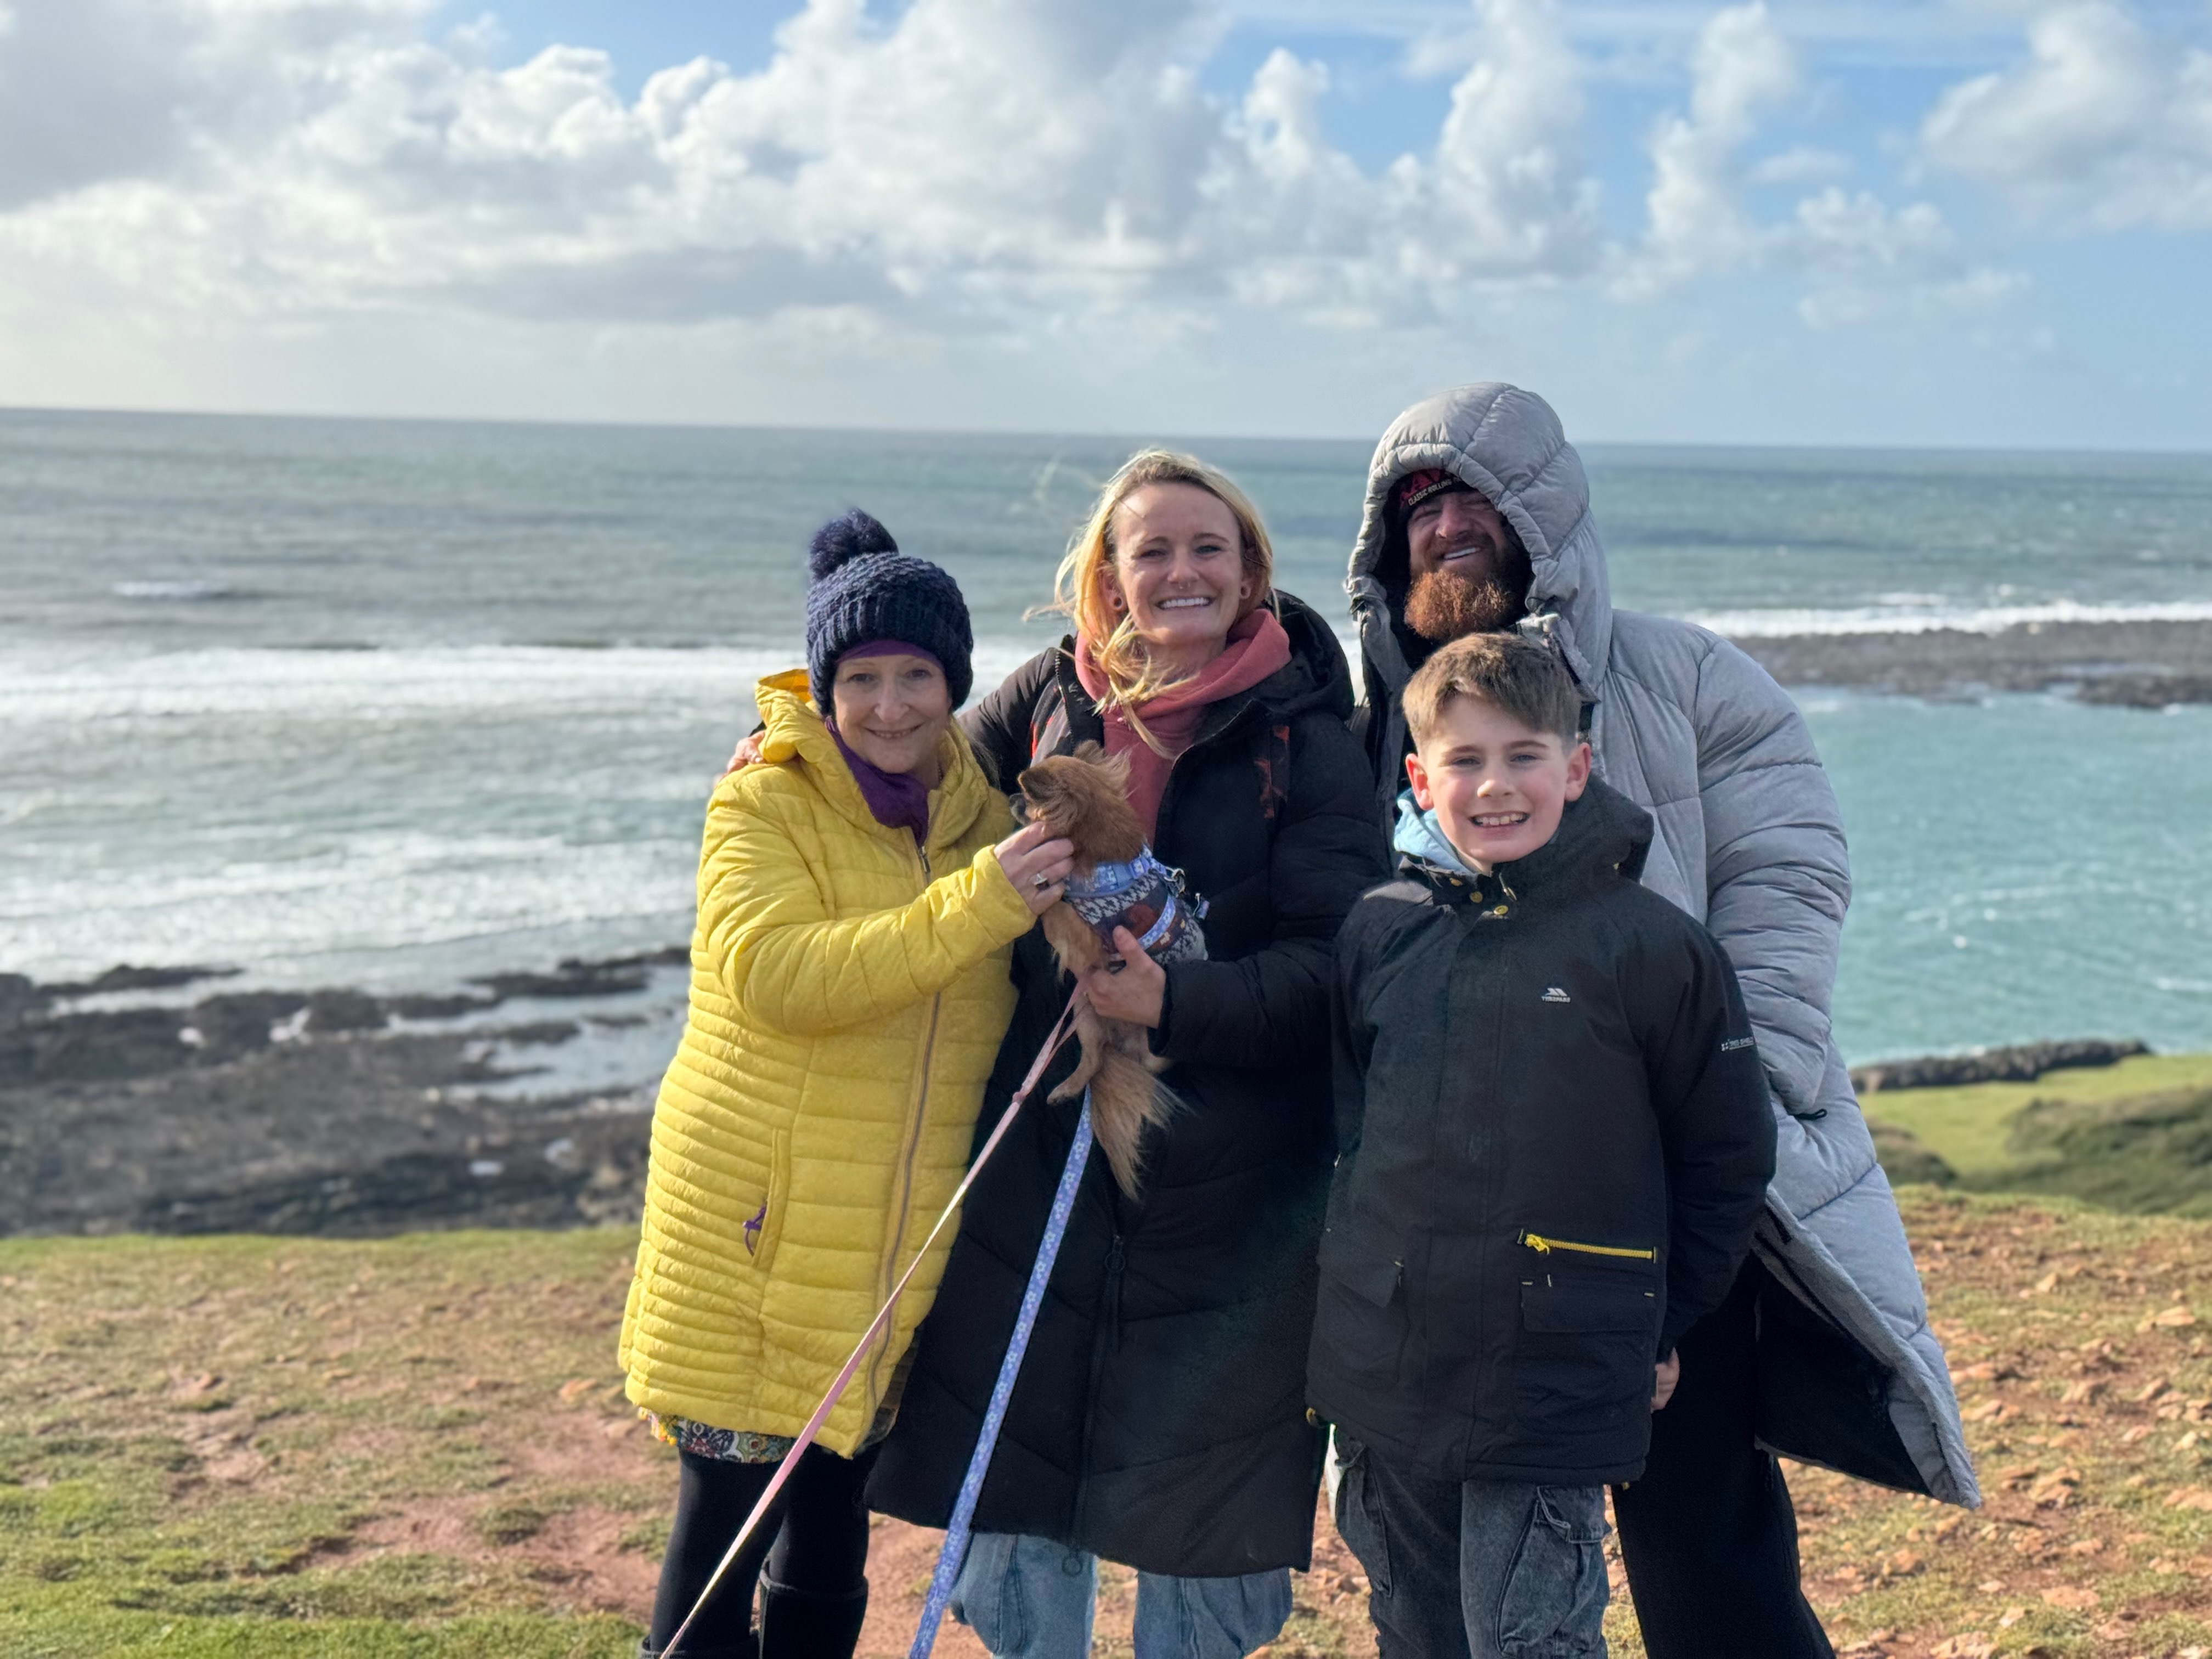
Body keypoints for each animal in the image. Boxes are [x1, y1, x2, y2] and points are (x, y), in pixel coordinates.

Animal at [1015, 743, 1205, 1198]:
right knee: (1093, 1059)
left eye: (1027, 802)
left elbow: (1053, 908)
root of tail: (1125, 1046)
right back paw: (1066, 1088)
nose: (1010, 799)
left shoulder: (1079, 932)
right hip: (1084, 1016)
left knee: (1141, 1064)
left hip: (1146, 1042)